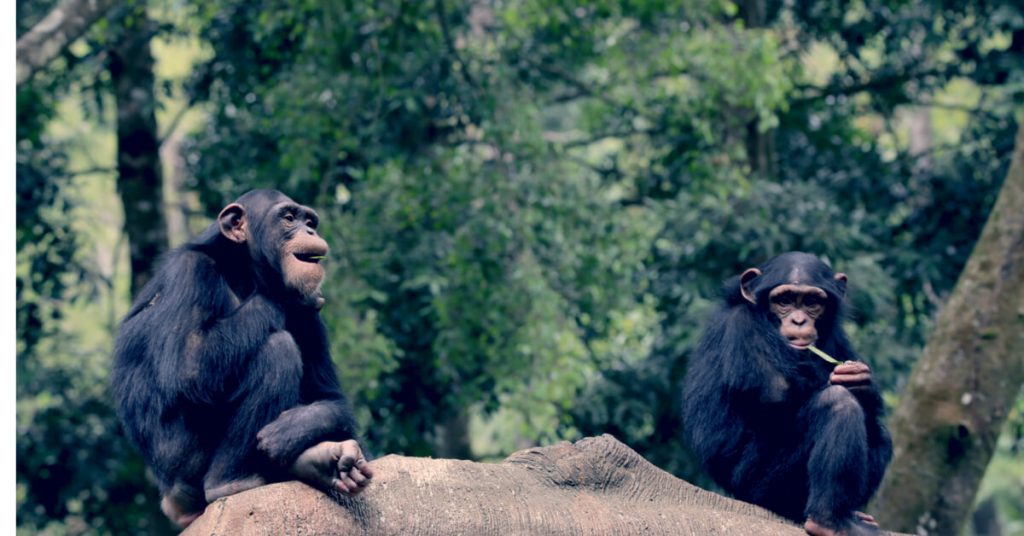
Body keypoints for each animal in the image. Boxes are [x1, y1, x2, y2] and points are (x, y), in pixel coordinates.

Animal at [111, 189, 372, 528]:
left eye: (310, 221)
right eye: (289, 218)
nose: (311, 232)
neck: (245, 272)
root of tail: (172, 498)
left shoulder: (312, 318)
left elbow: (329, 397)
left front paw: (294, 427)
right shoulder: (191, 271)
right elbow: (188, 365)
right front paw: (285, 295)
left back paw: (323, 461)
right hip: (183, 460)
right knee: (276, 350)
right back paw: (231, 481)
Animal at [684, 253, 892, 536]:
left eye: (812, 302)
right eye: (784, 301)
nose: (799, 320)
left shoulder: (837, 335)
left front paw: (861, 380)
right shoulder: (742, 325)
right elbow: (779, 391)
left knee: (879, 433)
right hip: (761, 483)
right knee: (837, 404)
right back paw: (830, 522)